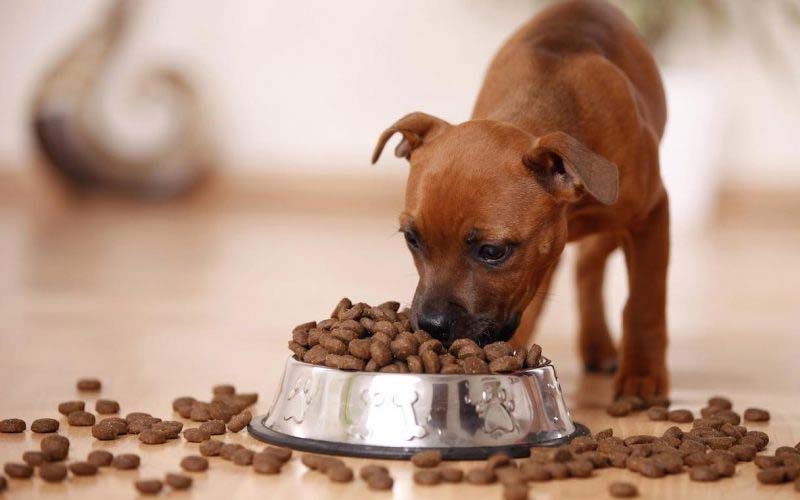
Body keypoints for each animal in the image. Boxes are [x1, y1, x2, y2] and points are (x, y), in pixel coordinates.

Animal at [376, 0, 668, 398]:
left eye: (492, 251)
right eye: (411, 239)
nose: (432, 326)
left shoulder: (651, 215)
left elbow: (644, 301)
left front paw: (641, 378)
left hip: (614, 228)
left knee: (591, 264)